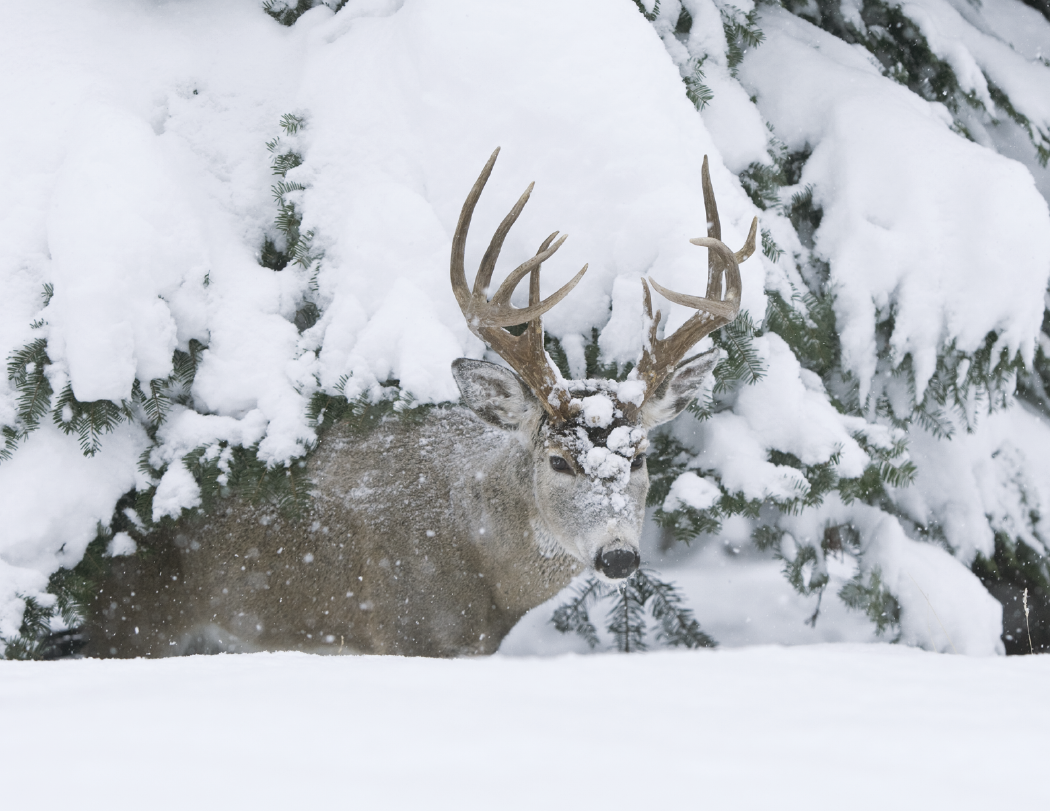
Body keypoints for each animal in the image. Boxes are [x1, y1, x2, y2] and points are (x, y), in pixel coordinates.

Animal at [81, 149, 757, 658]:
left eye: (639, 456)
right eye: (558, 460)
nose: (617, 555)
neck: (481, 561)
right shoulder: (402, 629)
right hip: (131, 618)